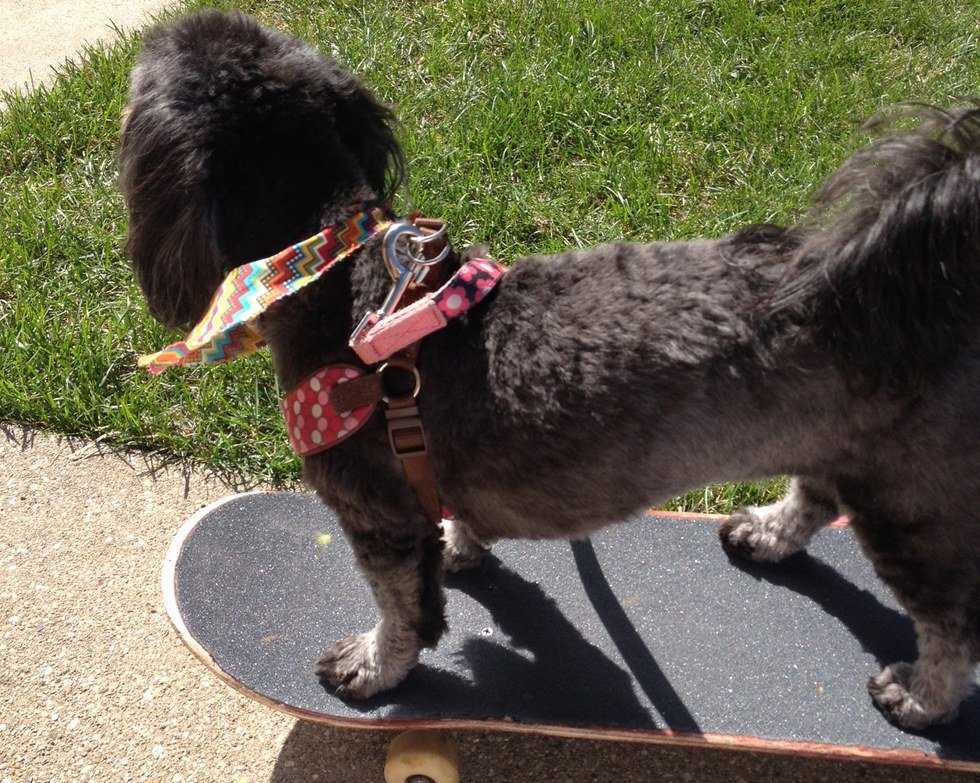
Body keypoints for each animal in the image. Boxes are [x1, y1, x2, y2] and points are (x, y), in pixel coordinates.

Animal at [119, 10, 980, 730]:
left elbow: (402, 610)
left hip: (912, 497)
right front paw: (463, 543)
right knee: (816, 493)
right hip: (843, 442)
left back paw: (923, 696)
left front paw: (374, 665)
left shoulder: (376, 514)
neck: (340, 270)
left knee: (950, 622)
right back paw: (768, 533)